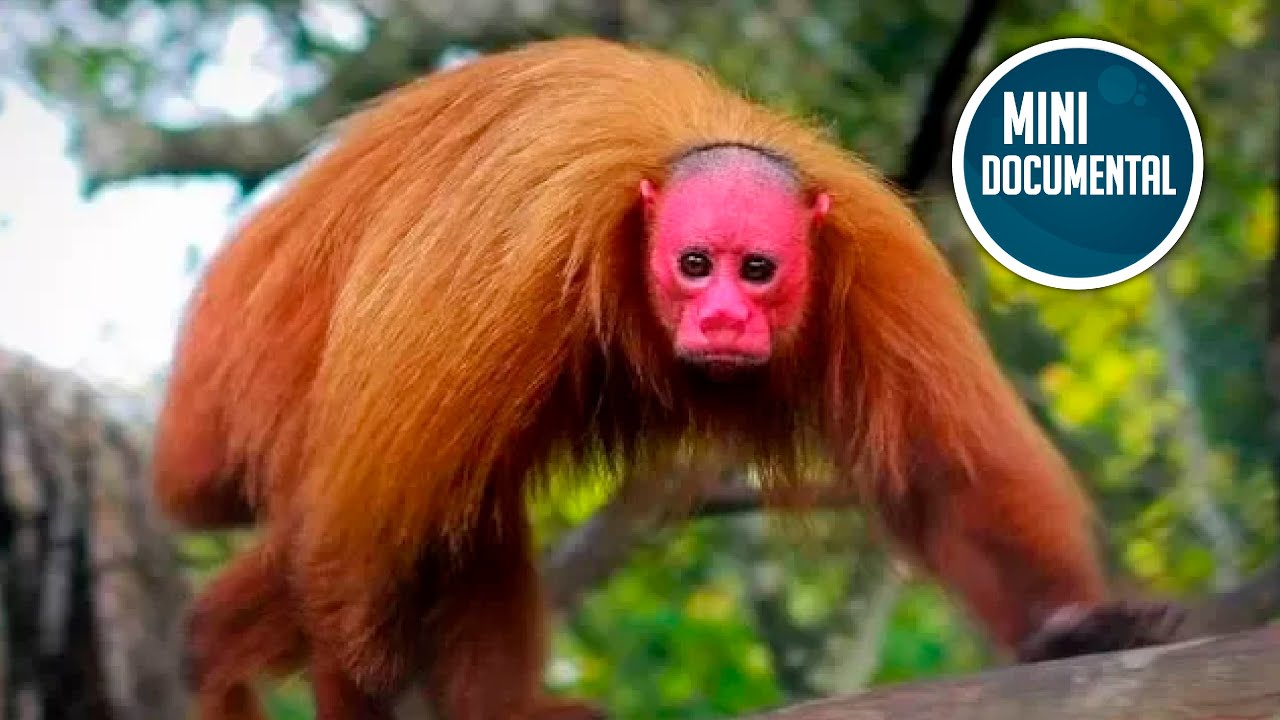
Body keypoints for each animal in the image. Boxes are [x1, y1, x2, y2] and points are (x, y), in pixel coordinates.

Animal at [151, 38, 1184, 720]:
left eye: (756, 271)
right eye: (695, 265)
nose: (724, 316)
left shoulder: (874, 262)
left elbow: (945, 476)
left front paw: (1073, 629)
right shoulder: (496, 275)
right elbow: (359, 531)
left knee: (465, 513)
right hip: (258, 386)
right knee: (383, 513)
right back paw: (210, 649)